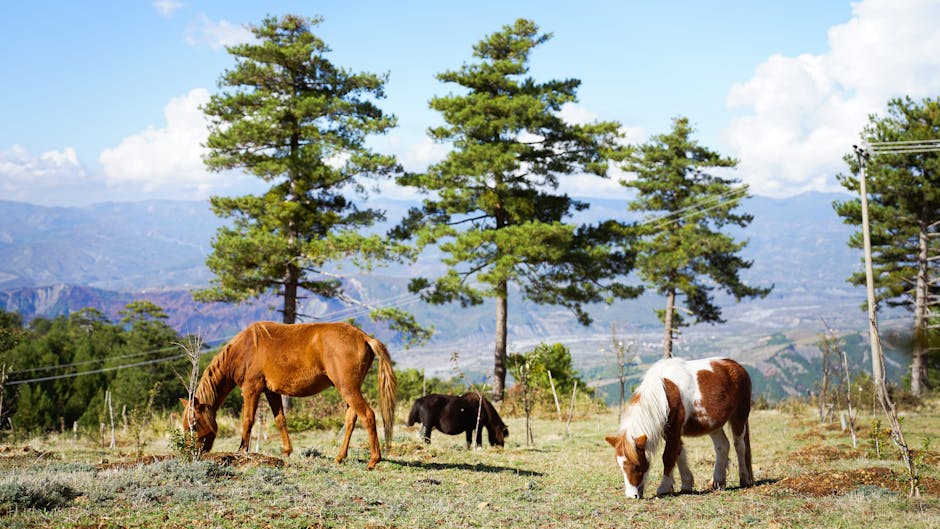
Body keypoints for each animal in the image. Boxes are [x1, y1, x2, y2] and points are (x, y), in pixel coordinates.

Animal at [180, 321, 397, 469]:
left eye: (194, 423)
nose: (192, 454)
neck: (244, 349)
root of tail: (364, 337)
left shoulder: (251, 389)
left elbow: (248, 420)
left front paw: (242, 451)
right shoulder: (272, 392)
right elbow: (280, 420)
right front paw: (286, 451)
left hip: (347, 389)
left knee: (368, 415)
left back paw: (373, 460)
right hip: (350, 390)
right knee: (351, 419)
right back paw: (340, 457)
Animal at [605, 357, 753, 499]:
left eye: (636, 465)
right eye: (620, 466)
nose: (632, 495)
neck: (664, 392)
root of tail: (736, 366)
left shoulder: (674, 430)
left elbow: (668, 456)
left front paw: (664, 487)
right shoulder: (668, 432)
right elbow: (679, 454)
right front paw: (686, 484)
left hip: (739, 416)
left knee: (740, 446)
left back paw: (744, 479)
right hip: (713, 424)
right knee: (723, 446)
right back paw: (717, 482)